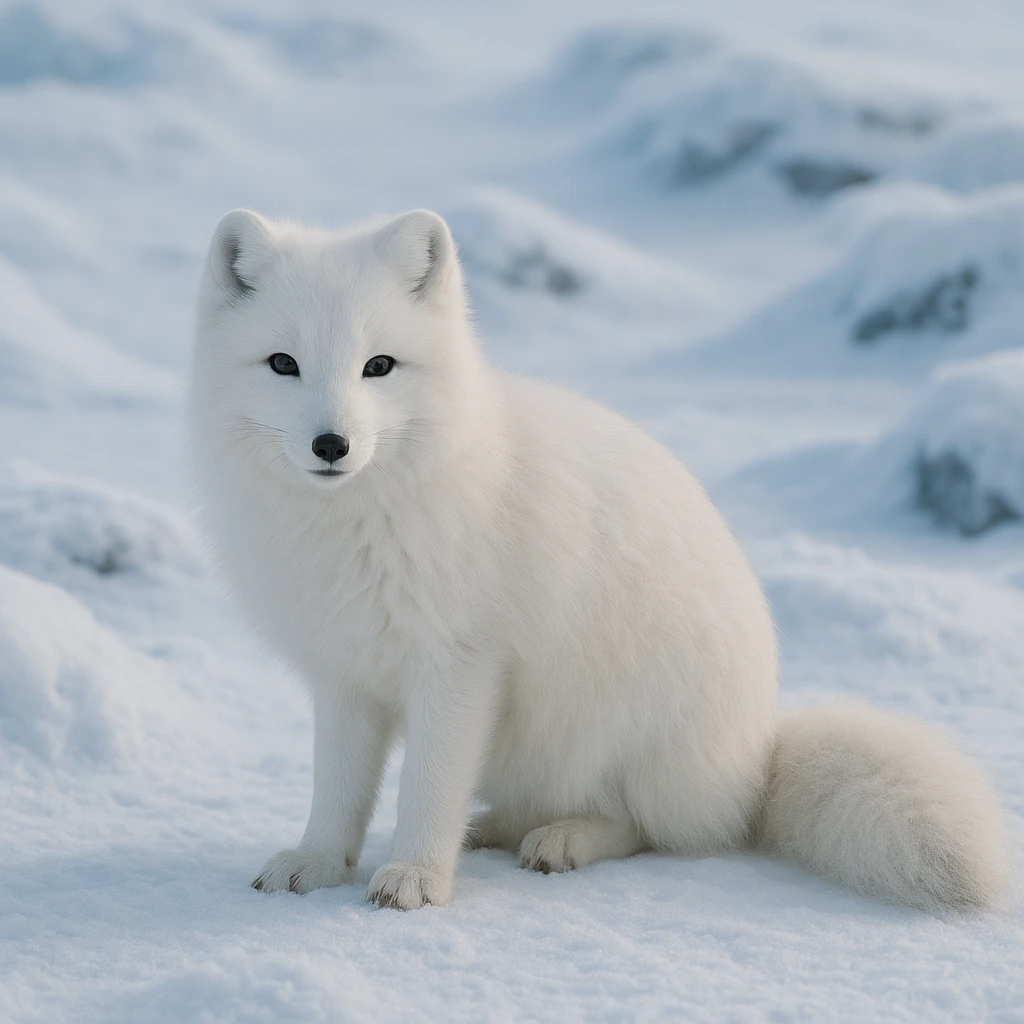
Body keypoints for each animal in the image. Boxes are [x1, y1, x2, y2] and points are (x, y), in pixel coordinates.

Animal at [188, 207, 1011, 912]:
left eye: (379, 365)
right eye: (283, 363)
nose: (332, 444)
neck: (355, 524)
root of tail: (758, 761)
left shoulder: (459, 665)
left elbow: (428, 783)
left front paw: (416, 877)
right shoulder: (345, 672)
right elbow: (338, 787)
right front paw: (318, 862)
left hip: (616, 723)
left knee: (651, 828)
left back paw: (563, 839)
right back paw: (493, 827)